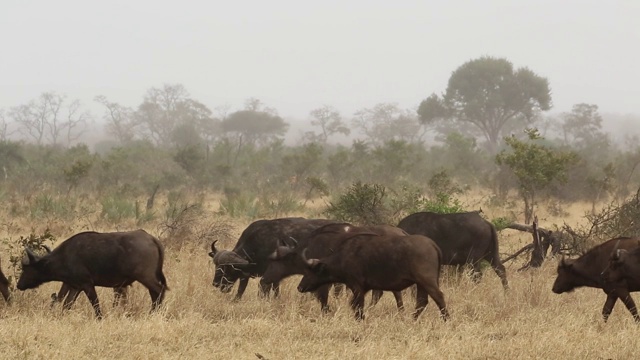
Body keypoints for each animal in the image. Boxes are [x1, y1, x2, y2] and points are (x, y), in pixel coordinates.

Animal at [17, 231, 168, 318]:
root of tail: (152, 239)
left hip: (146, 277)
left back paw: (154, 313)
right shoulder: (75, 286)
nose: (19, 285)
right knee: (155, 293)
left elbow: (95, 304)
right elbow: (67, 304)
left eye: (26, 268)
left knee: (159, 290)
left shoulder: (87, 284)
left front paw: (100, 318)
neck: (65, 256)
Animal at [211, 218, 340, 300]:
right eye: (216, 265)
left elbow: (266, 287)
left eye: (228, 268)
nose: (215, 283)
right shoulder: (248, 274)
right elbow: (241, 289)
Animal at [298, 232, 448, 322]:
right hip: (421, 284)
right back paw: (413, 319)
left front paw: (360, 319)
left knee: (439, 297)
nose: (300, 287)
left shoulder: (357, 287)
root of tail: (432, 245)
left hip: (427, 281)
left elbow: (358, 305)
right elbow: (354, 305)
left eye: (309, 272)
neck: (343, 257)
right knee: (422, 302)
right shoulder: (363, 289)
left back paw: (446, 318)